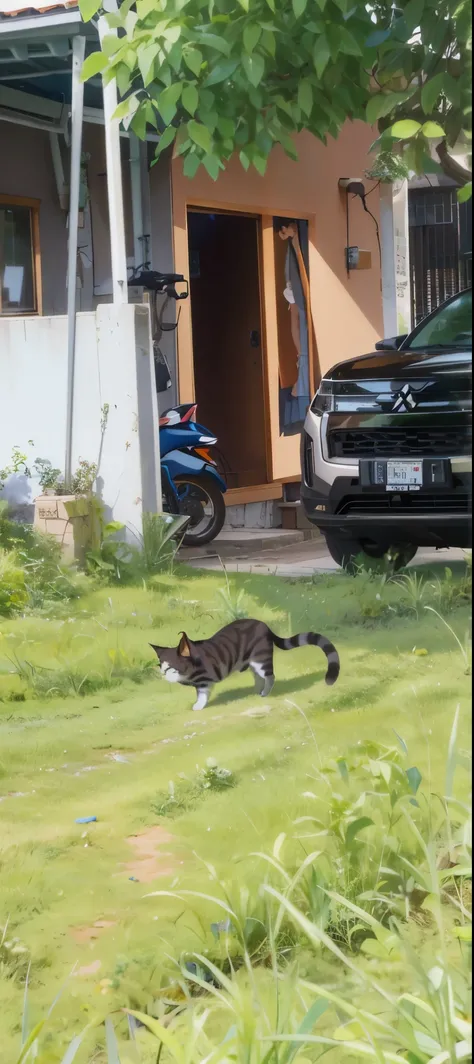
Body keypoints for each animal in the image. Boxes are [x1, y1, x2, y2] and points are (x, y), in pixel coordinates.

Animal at [149, 621, 338, 710]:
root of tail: (265, 626)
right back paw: (256, 690)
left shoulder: (205, 679)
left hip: (261, 658)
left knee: (270, 675)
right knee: (259, 677)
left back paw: (265, 692)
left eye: (170, 667)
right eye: (161, 667)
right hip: (253, 663)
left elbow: (202, 694)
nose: (163, 675)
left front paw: (198, 705)